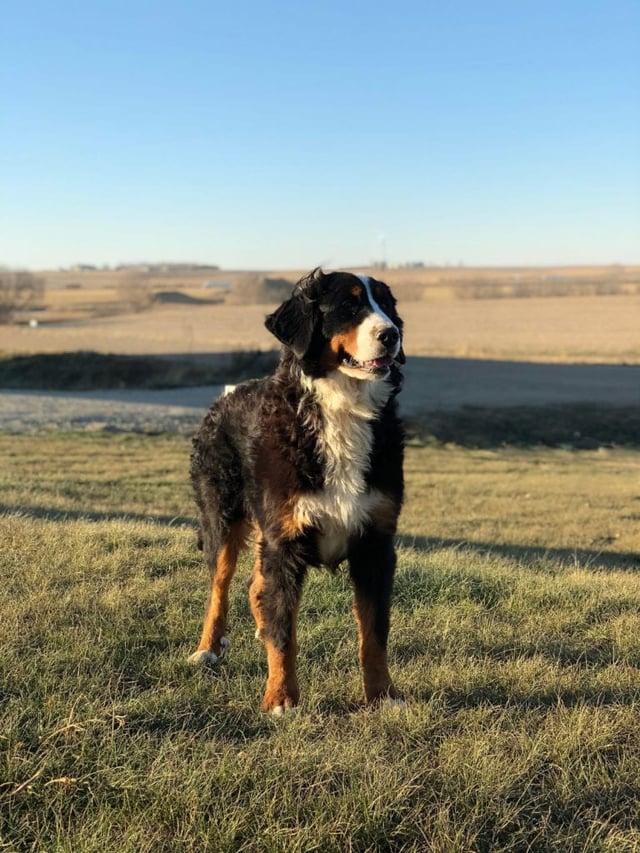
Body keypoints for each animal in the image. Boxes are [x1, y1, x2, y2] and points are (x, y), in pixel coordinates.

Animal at [188, 268, 404, 712]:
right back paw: (208, 649)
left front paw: (383, 695)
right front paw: (281, 698)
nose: (391, 334)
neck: (341, 412)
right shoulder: (285, 539)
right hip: (222, 517)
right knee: (219, 588)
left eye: (388, 307)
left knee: (256, 587)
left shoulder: (375, 542)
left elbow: (374, 633)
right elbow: (285, 633)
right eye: (349, 305)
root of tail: (227, 394)